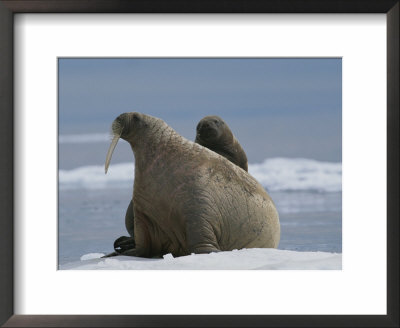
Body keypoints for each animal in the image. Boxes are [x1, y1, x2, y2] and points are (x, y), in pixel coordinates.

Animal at [104, 112, 280, 256]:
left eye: (135, 117)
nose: (119, 116)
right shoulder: (142, 212)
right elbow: (142, 243)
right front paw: (124, 252)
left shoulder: (198, 203)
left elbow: (200, 234)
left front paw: (210, 251)